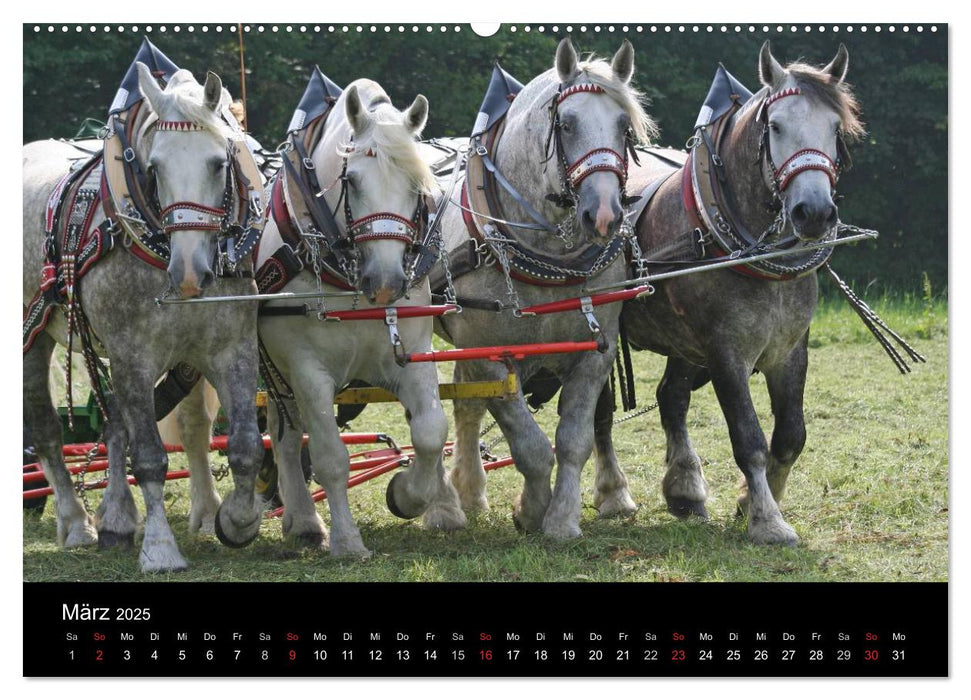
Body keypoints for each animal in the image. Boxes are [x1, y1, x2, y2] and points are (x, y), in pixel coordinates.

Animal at [23, 58, 266, 576]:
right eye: (154, 168)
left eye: (220, 163)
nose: (190, 273)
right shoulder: (133, 355)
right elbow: (150, 457)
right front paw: (160, 548)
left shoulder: (232, 347)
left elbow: (245, 446)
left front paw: (237, 521)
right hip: (36, 339)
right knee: (48, 430)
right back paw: (76, 522)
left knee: (115, 421)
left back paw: (115, 518)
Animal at [256, 78, 466, 556]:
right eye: (350, 181)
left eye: (419, 186)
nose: (386, 281)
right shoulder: (306, 370)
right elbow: (332, 456)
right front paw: (348, 541)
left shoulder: (411, 352)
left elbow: (431, 430)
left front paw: (407, 495)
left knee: (285, 432)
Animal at [436, 38, 656, 540]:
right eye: (567, 124)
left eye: (623, 126)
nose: (604, 214)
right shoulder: (492, 358)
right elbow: (529, 444)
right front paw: (533, 510)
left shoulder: (595, 355)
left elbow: (573, 440)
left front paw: (562, 518)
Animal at [592, 42, 864, 548]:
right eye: (775, 126)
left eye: (835, 129)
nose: (815, 213)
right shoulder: (726, 354)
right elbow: (749, 439)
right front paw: (767, 519)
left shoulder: (789, 350)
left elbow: (791, 436)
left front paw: (748, 501)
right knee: (597, 411)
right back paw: (613, 493)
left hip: (683, 344)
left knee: (671, 397)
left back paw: (684, 490)